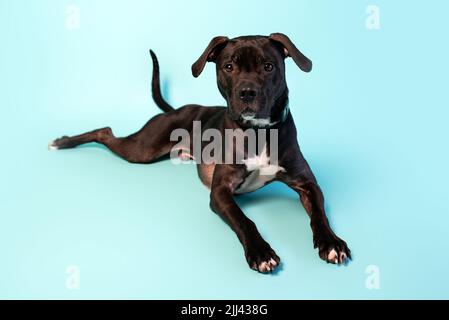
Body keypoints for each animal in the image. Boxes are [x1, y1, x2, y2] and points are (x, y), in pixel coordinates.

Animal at [50, 33, 350, 274]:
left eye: (268, 66)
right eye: (228, 66)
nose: (247, 92)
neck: (257, 133)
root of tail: (175, 110)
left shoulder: (307, 183)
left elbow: (319, 215)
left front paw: (331, 242)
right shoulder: (220, 192)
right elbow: (245, 221)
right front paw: (260, 252)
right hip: (143, 148)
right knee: (105, 132)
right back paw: (63, 142)